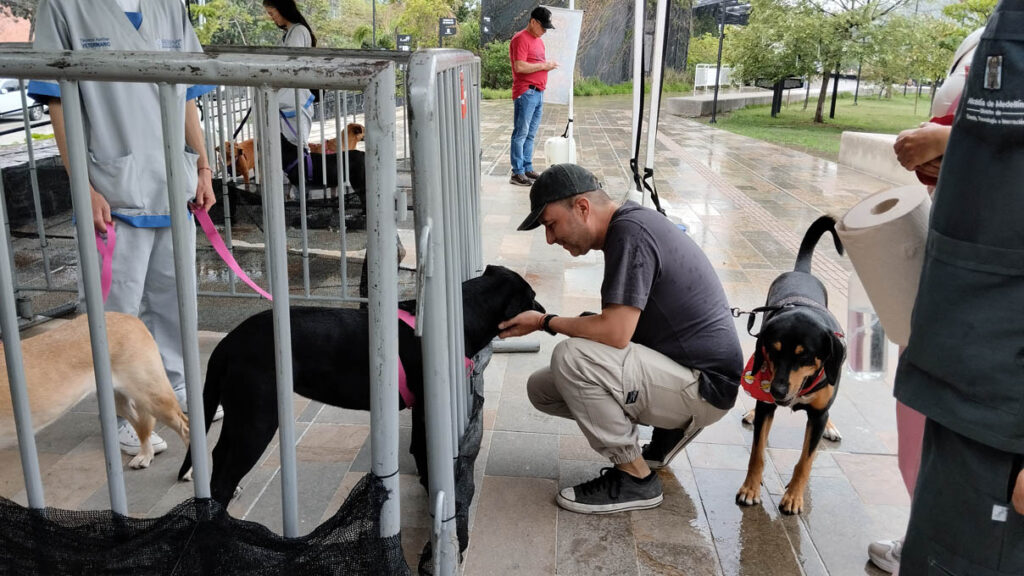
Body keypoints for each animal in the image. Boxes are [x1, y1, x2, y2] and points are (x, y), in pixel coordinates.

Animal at [0, 309, 190, 467]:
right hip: (121, 402)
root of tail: (130, 318)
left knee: (185, 426)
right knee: (142, 425)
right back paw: (146, 455)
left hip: (155, 399)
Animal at [178, 264, 544, 502]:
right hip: (258, 418)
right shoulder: (427, 405)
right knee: (225, 475)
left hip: (240, 411)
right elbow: (426, 455)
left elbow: (417, 448)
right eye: (532, 296)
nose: (544, 311)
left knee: (219, 455)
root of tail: (229, 342)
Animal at [737, 215, 847, 510]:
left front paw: (794, 497)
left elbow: (805, 461)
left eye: (805, 356)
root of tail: (802, 272)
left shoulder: (817, 415)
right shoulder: (767, 402)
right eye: (772, 351)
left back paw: (831, 426)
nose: (777, 390)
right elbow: (757, 453)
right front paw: (750, 488)